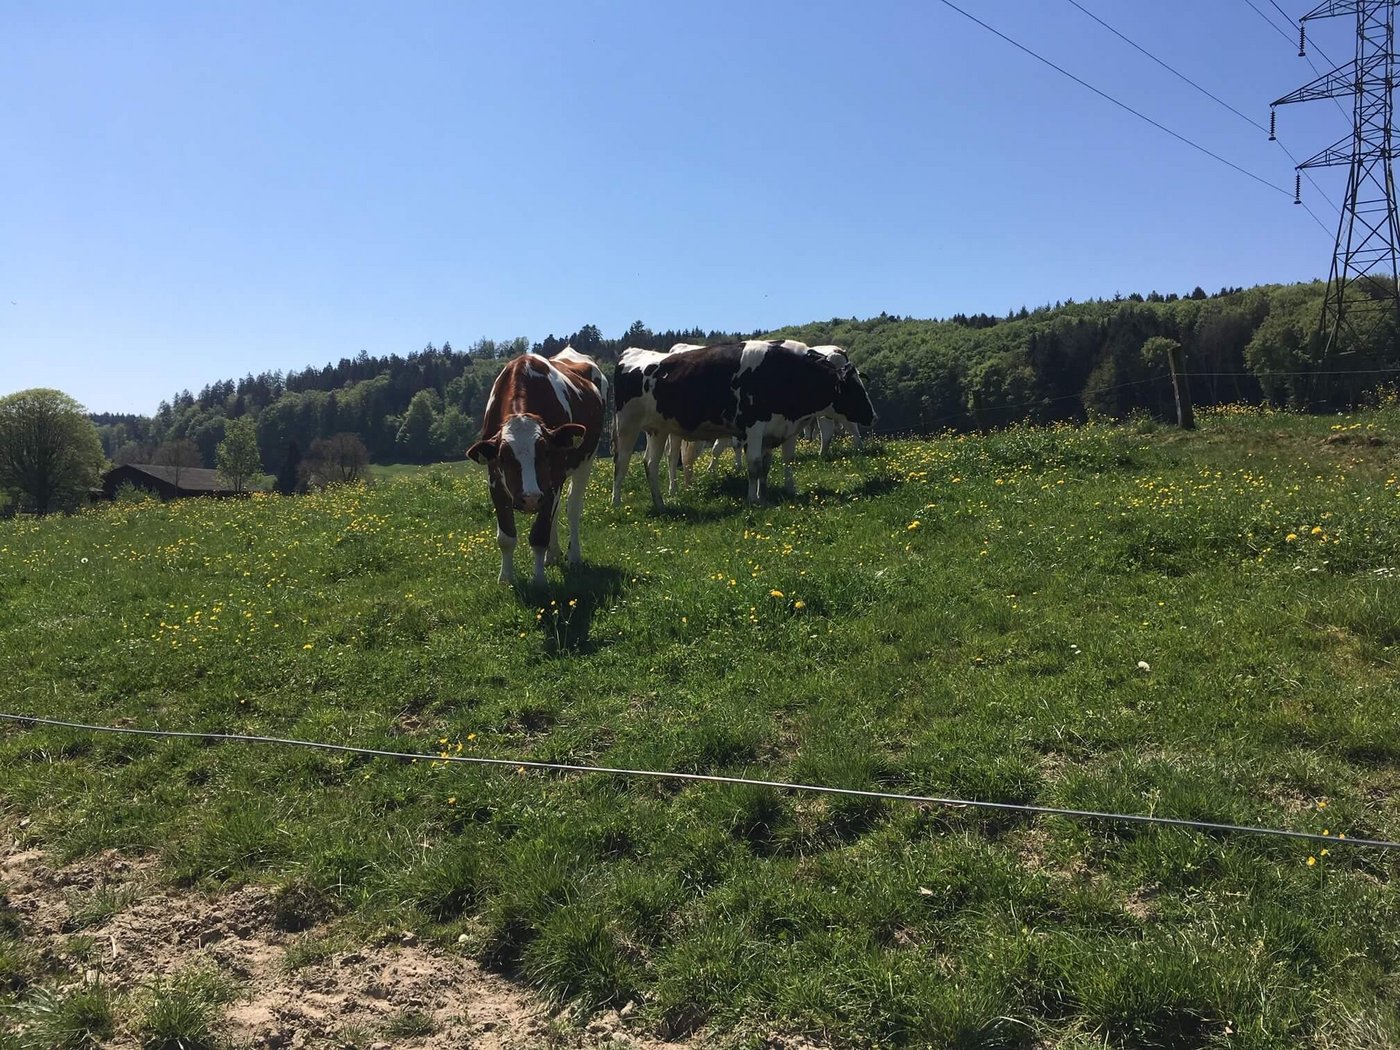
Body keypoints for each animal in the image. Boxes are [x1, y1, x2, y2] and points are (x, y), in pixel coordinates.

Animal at [468, 348, 606, 585]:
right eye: (503, 456)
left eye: (546, 452)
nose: (530, 498)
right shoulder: (494, 479)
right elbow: (506, 537)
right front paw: (506, 578)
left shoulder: (553, 479)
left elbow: (540, 534)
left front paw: (539, 579)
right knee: (556, 512)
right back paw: (553, 555)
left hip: (586, 459)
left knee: (573, 507)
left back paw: (574, 556)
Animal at [613, 339, 875, 508]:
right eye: (853, 390)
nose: (873, 416)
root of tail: (633, 353)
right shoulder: (754, 427)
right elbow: (754, 465)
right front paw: (753, 500)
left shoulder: (780, 428)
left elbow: (773, 464)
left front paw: (768, 494)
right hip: (627, 426)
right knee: (622, 462)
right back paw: (616, 503)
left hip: (657, 429)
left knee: (650, 464)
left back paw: (660, 503)